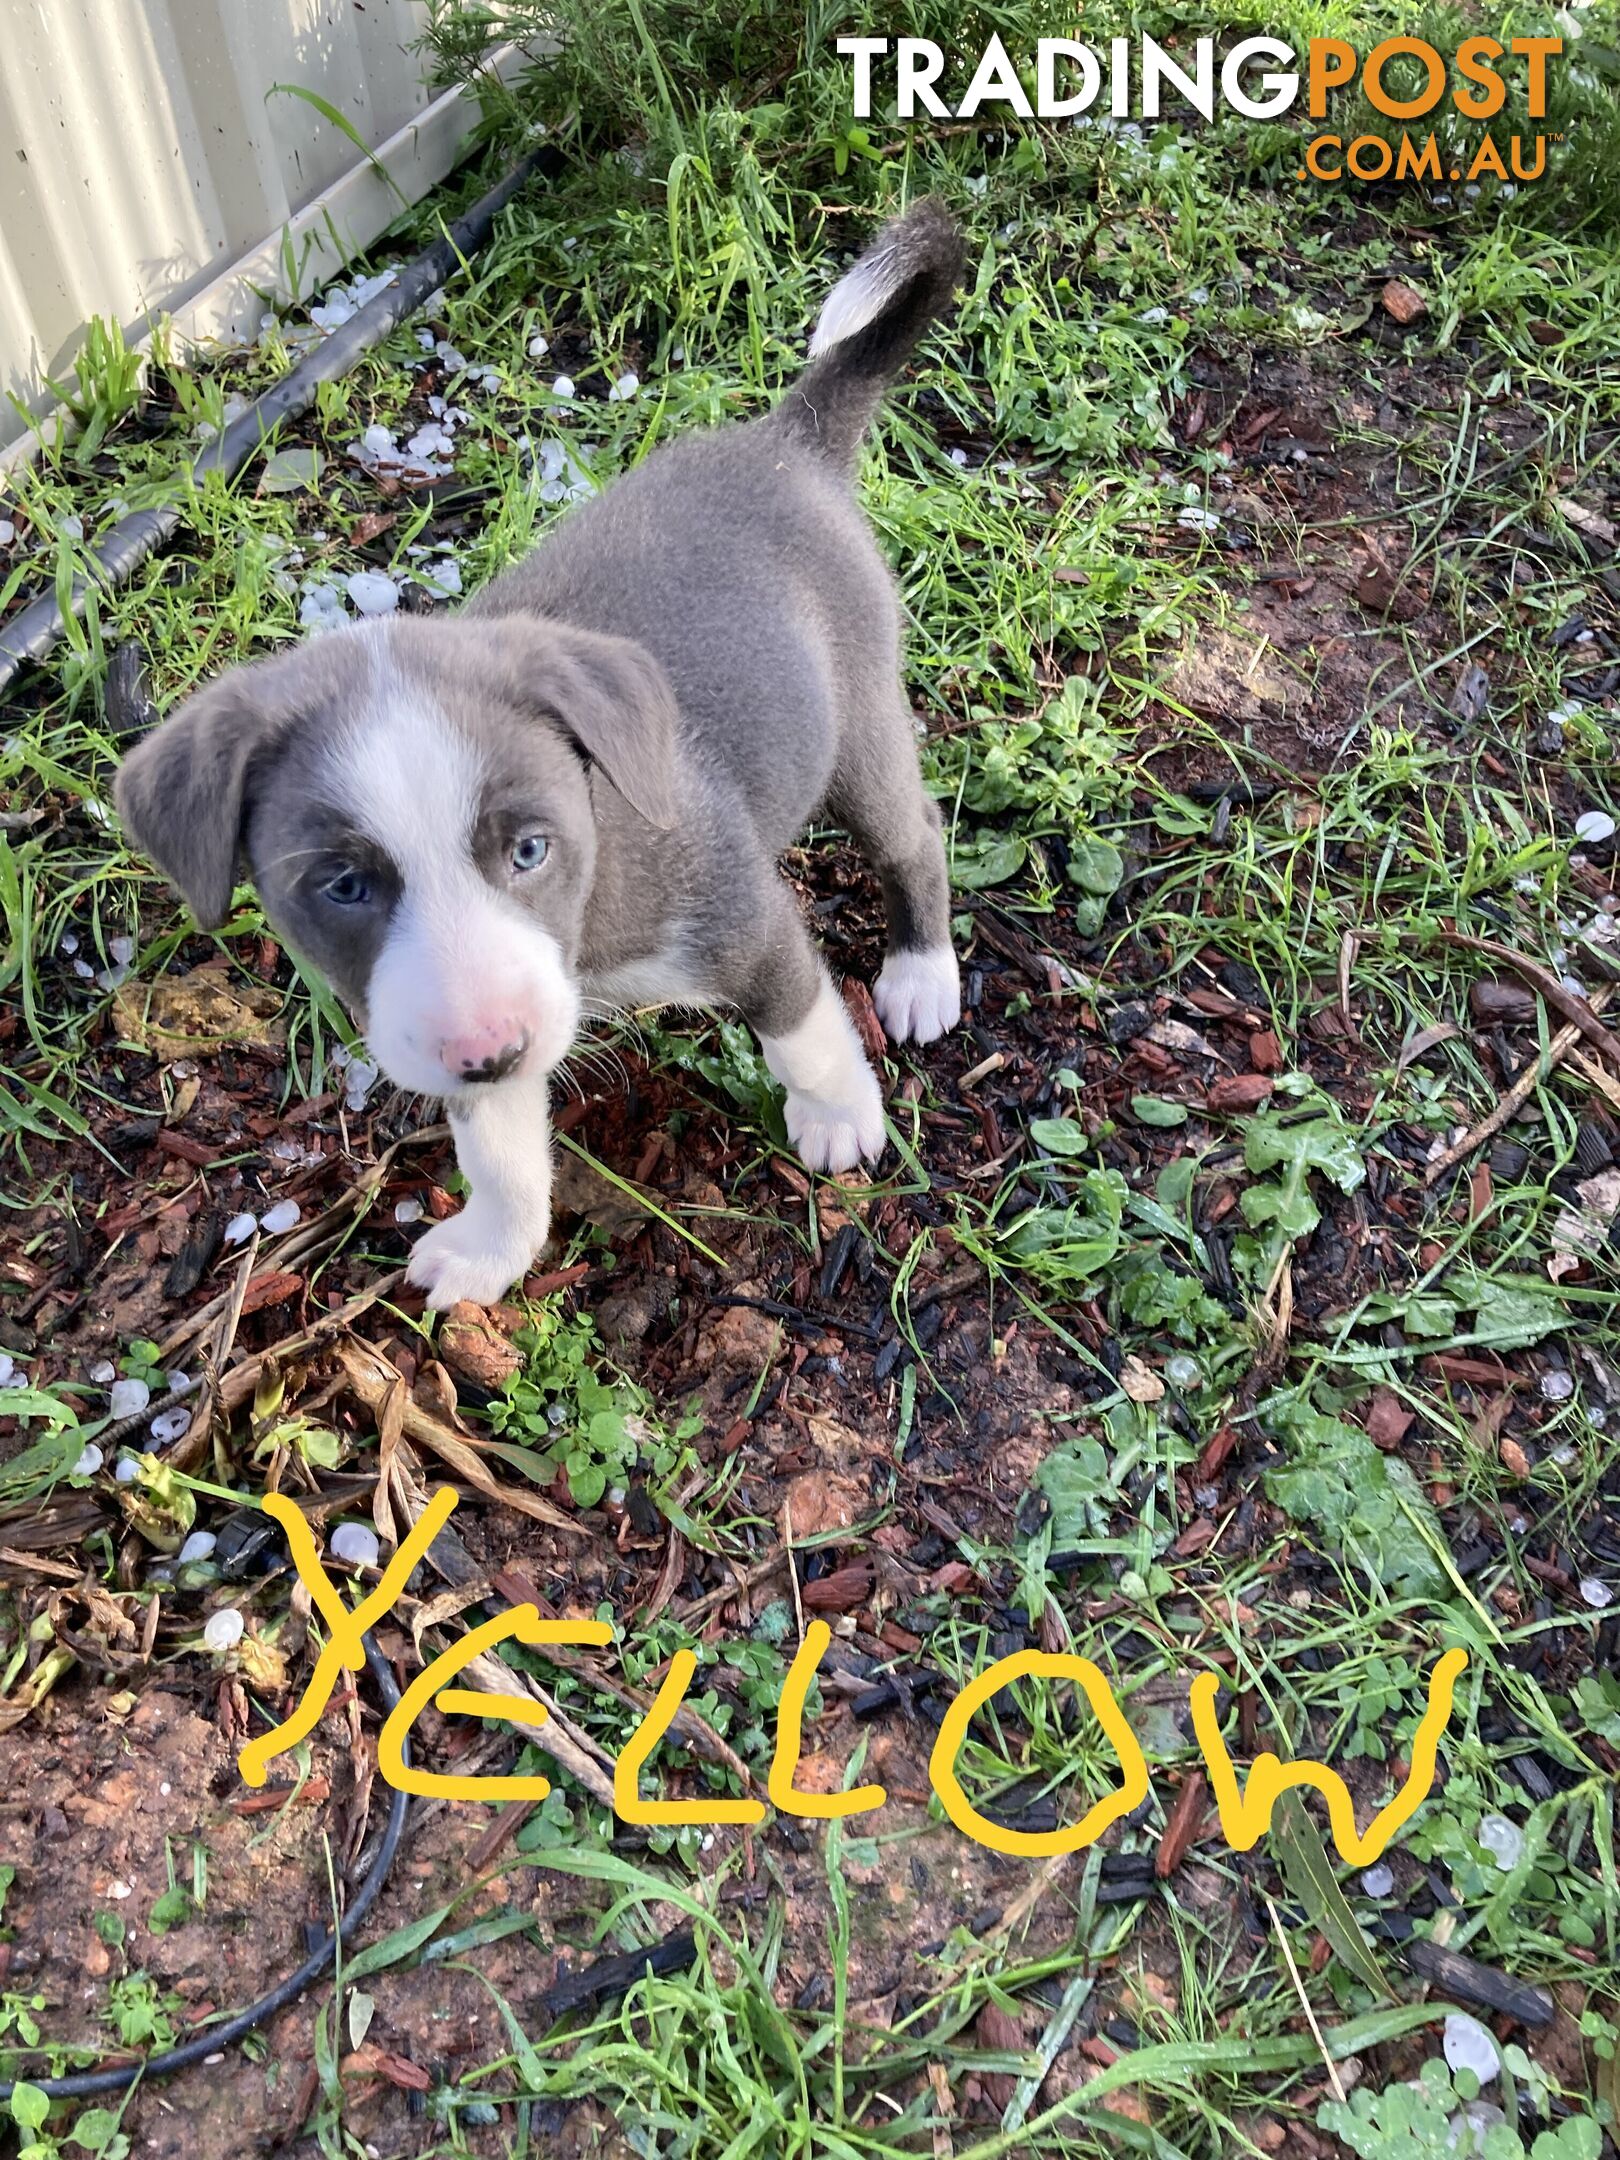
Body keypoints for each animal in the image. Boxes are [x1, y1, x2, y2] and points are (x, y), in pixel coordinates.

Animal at [123, 198, 976, 1296]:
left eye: (529, 849)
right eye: (343, 887)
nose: (490, 1048)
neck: (594, 906)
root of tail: (793, 438)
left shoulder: (743, 919)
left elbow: (805, 1031)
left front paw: (838, 1117)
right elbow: (498, 1148)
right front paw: (494, 1244)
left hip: (860, 718)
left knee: (909, 834)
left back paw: (920, 974)